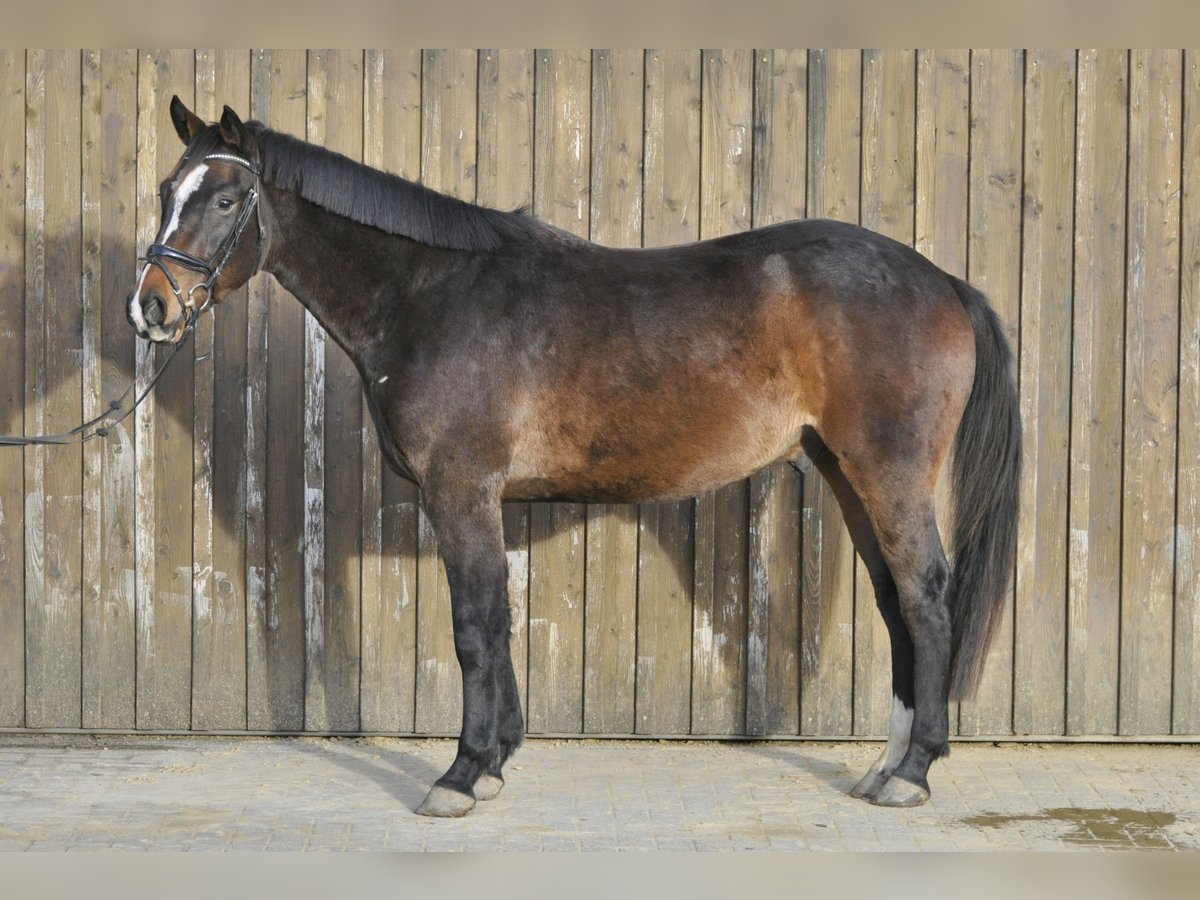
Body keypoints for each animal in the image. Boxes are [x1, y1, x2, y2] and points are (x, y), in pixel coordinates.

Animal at [127, 96, 1020, 817]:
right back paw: (886, 767)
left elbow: (474, 627)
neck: (429, 294)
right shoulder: (477, 501)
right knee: (895, 601)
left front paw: (461, 775)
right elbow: (498, 622)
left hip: (886, 473)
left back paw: (913, 774)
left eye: (228, 196)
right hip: (846, 472)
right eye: (168, 191)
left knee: (926, 597)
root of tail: (943, 282)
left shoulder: (461, 492)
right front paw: (494, 764)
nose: (151, 308)